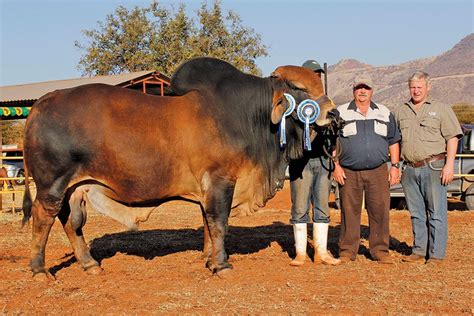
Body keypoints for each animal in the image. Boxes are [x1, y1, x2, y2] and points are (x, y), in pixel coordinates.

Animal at [23, 56, 336, 278]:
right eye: (299, 88)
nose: (333, 113)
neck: (248, 116)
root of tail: (41, 103)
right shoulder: (221, 181)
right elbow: (219, 223)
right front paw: (222, 265)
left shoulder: (207, 189)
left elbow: (208, 224)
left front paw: (208, 260)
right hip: (52, 184)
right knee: (43, 218)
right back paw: (40, 270)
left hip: (74, 187)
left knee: (69, 221)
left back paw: (90, 264)